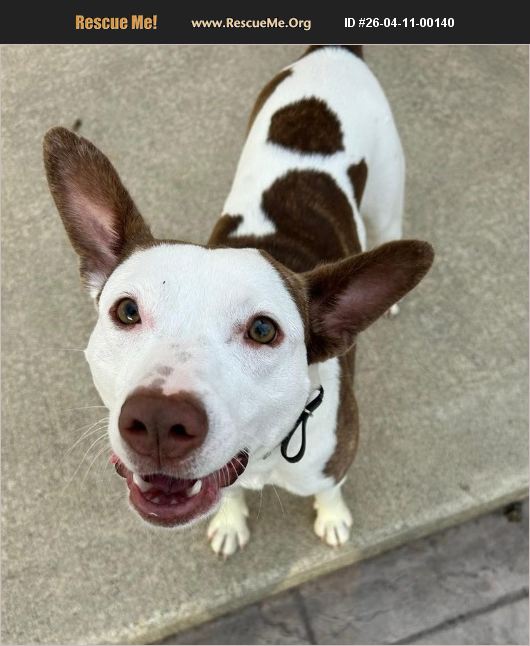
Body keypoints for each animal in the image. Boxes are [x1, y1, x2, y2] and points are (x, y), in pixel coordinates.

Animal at [43, 45, 434, 557]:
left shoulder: (336, 459)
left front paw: (332, 517)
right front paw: (230, 522)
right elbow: (227, 495)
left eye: (263, 330)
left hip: (387, 196)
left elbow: (330, 489)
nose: (158, 419)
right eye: (126, 311)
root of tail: (334, 50)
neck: (266, 455)